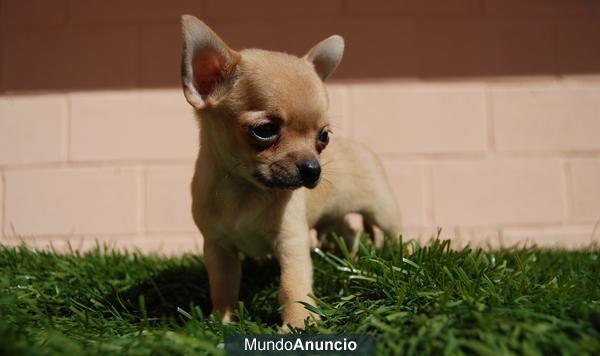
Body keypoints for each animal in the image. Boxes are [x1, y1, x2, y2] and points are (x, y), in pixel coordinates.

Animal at [180, 16, 400, 328]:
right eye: (264, 130)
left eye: (324, 137)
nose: (312, 169)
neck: (244, 189)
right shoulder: (218, 247)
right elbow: (223, 286)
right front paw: (220, 319)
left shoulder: (291, 242)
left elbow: (292, 286)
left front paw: (298, 323)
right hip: (334, 217)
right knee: (349, 231)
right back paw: (349, 259)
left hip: (382, 210)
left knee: (396, 234)